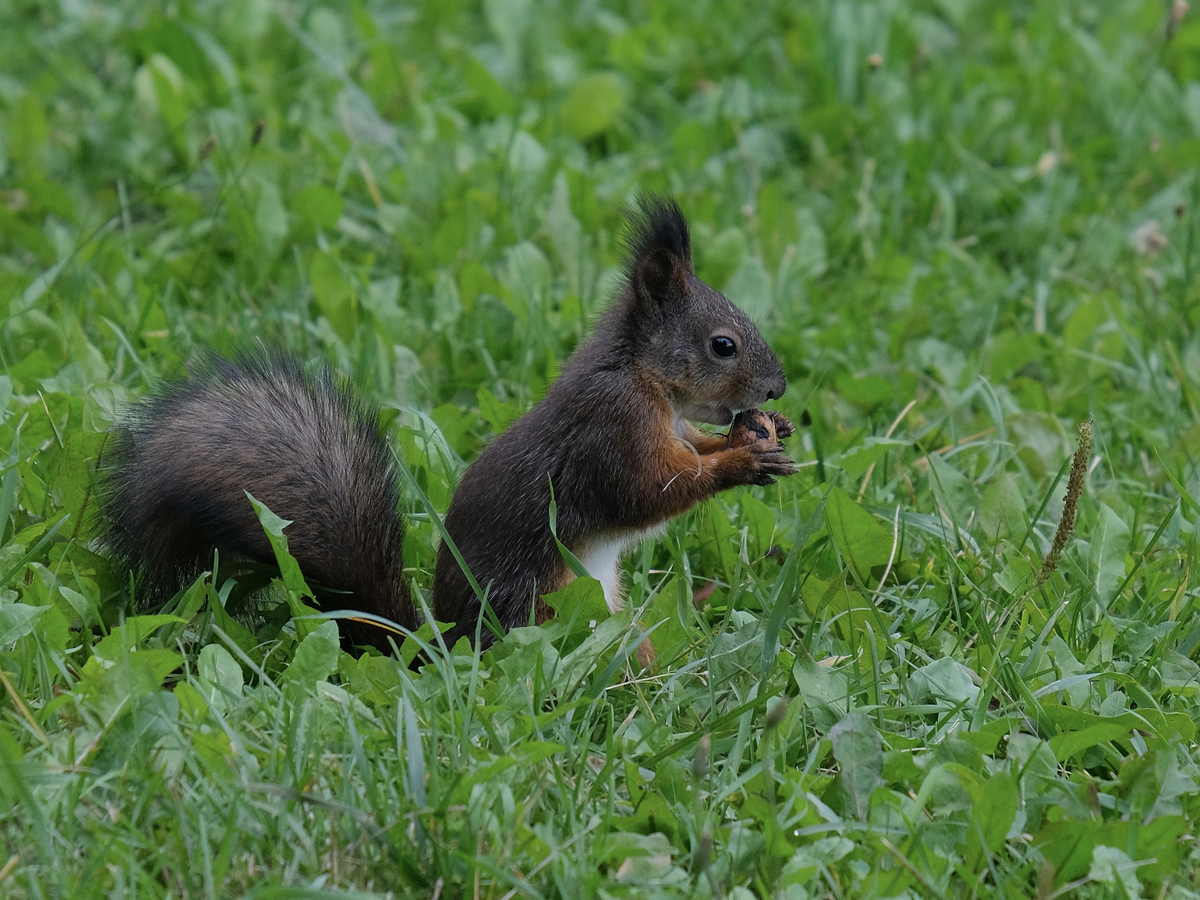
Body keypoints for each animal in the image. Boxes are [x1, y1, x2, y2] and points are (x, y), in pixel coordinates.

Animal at [100, 196, 796, 657]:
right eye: (723, 345)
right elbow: (650, 492)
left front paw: (756, 434)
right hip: (559, 613)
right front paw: (742, 461)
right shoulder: (612, 429)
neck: (641, 374)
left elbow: (691, 450)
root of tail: (449, 652)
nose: (778, 387)